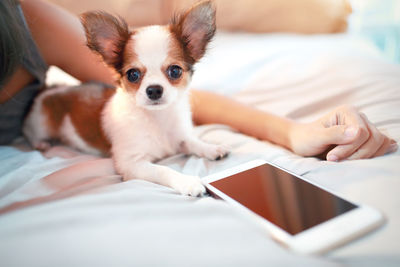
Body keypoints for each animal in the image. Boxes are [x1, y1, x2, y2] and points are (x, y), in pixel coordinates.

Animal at [23, 0, 228, 197]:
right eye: (133, 75)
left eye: (175, 71)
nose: (154, 90)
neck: (157, 119)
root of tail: (50, 89)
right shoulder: (133, 164)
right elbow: (163, 170)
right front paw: (187, 182)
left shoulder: (178, 138)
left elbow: (191, 141)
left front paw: (211, 148)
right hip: (40, 123)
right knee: (29, 133)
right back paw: (41, 143)